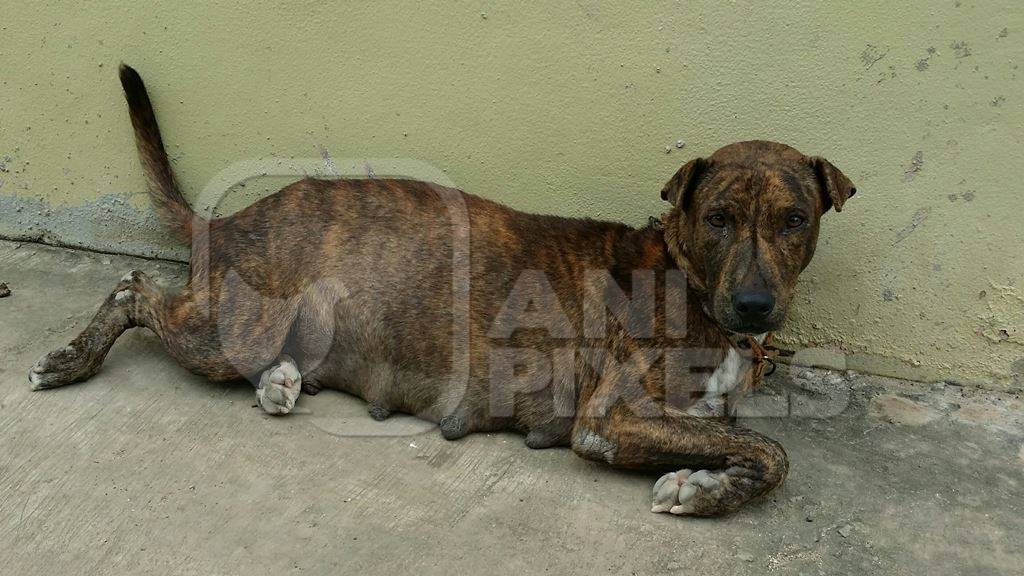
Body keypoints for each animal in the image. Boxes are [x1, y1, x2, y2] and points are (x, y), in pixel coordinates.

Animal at [28, 65, 851, 512]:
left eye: (794, 218)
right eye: (717, 218)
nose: (755, 306)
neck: (688, 275)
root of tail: (232, 220)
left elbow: (750, 441)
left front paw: (708, 483)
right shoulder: (612, 418)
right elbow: (771, 450)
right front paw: (703, 489)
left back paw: (281, 385)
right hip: (230, 329)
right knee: (134, 287)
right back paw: (70, 358)